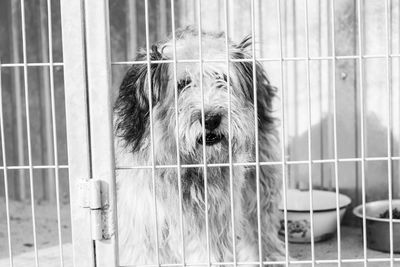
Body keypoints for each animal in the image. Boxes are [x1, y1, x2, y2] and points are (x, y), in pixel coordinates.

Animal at [115, 26, 284, 266]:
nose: (211, 118)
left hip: (262, 174)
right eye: (182, 84)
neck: (189, 165)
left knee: (262, 222)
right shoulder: (145, 223)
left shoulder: (214, 221)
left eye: (222, 79)